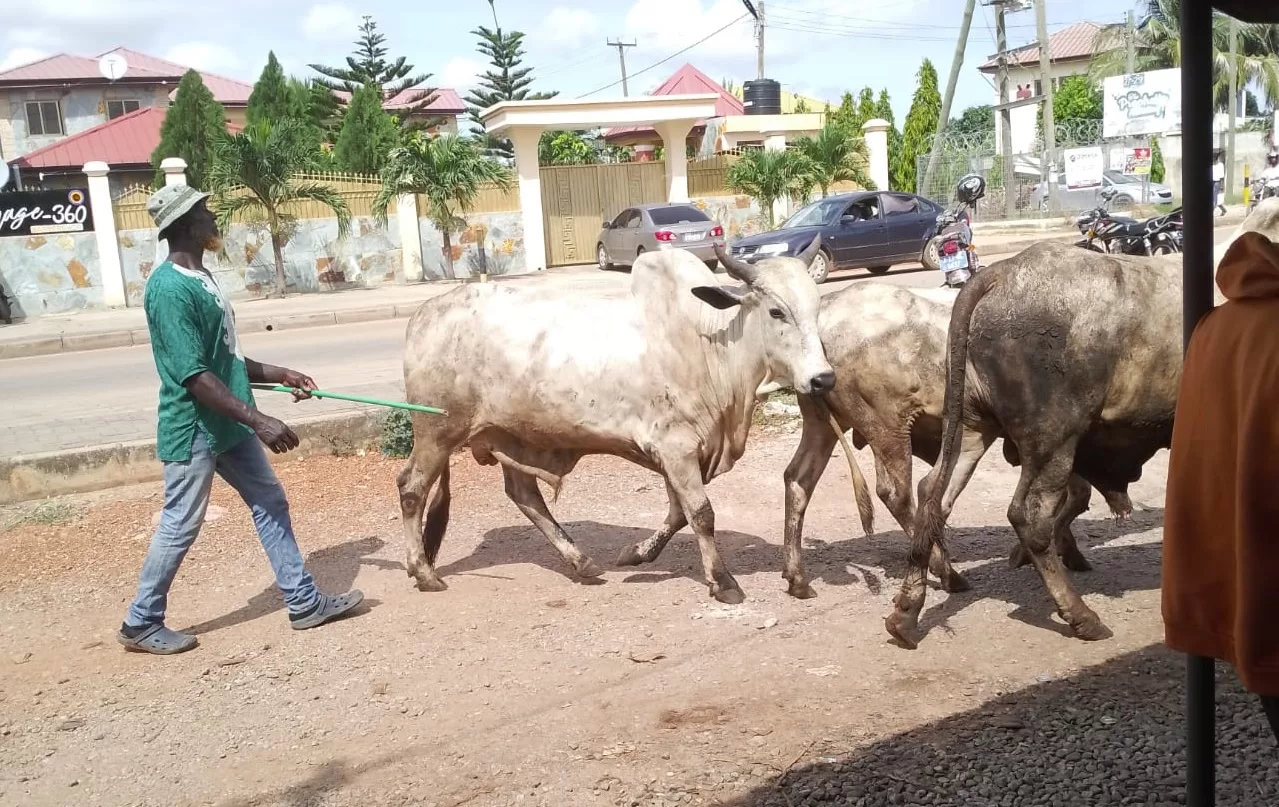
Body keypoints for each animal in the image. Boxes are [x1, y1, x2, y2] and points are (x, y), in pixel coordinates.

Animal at [396, 238, 836, 604]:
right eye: (776, 311)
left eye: (817, 309)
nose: (823, 379)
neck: (707, 342)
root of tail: (423, 315)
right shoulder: (675, 448)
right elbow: (701, 513)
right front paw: (723, 581)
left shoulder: (677, 454)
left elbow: (679, 513)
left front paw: (637, 554)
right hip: (437, 432)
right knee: (412, 489)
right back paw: (424, 572)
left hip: (510, 434)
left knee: (524, 495)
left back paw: (580, 561)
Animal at [884, 199, 1279, 649]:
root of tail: (999, 273)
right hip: (1053, 438)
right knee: (1030, 516)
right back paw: (1080, 615)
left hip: (970, 428)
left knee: (933, 495)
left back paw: (907, 613)